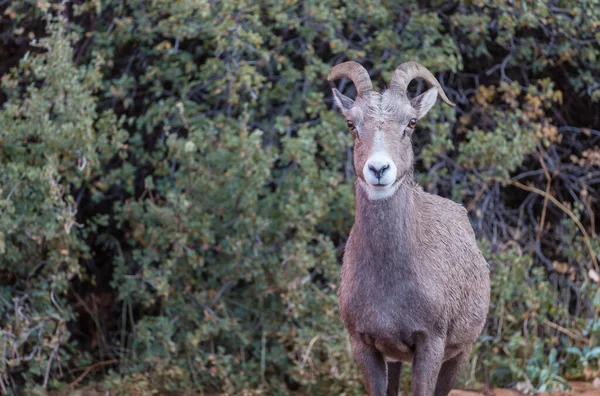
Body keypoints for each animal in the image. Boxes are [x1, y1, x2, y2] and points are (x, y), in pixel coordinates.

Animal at [330, 61, 490, 392]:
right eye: (352, 124)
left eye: (411, 123)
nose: (379, 169)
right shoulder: (365, 346)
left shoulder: (431, 344)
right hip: (395, 360)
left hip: (460, 354)